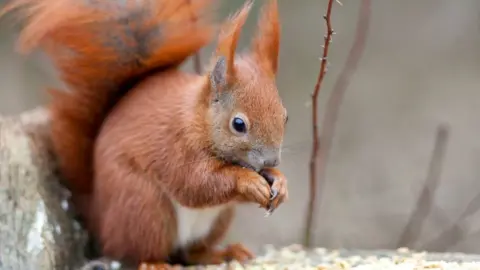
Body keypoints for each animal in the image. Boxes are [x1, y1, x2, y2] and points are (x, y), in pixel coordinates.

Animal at [1, 0, 288, 268]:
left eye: (285, 116)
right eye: (238, 124)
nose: (271, 160)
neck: (199, 120)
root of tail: (100, 218)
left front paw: (279, 181)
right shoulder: (177, 145)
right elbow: (196, 183)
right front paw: (248, 182)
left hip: (216, 219)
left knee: (192, 253)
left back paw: (223, 253)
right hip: (144, 208)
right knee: (139, 252)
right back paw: (155, 263)